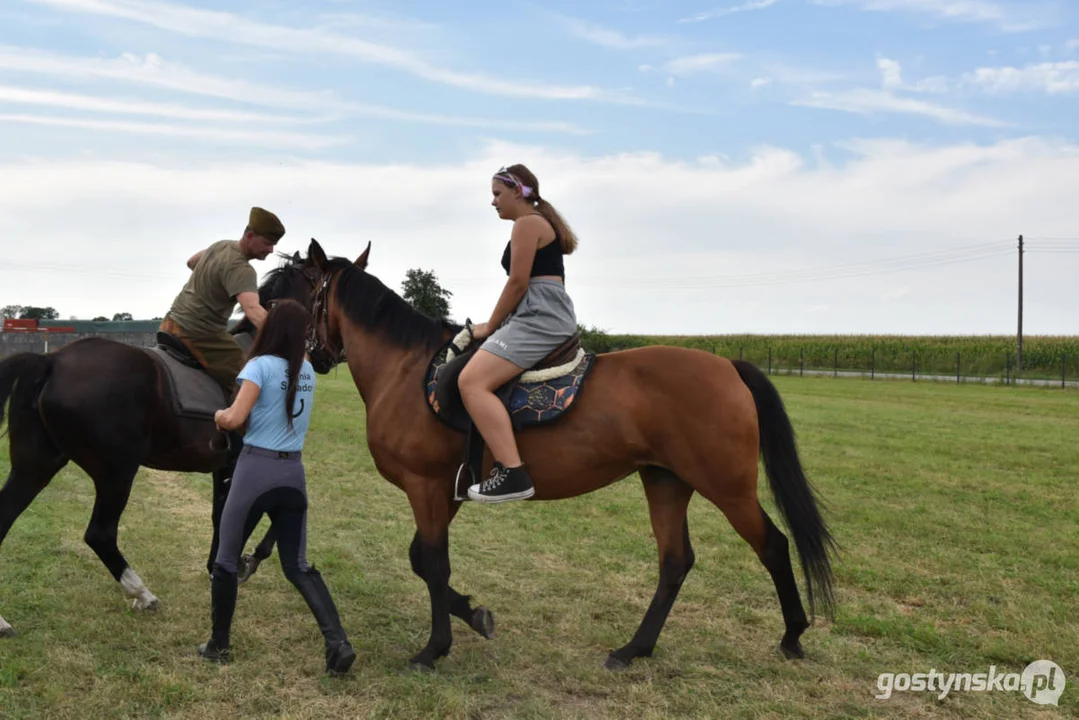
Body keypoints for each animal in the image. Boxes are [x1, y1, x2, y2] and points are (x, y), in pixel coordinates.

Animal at [0, 252, 319, 634]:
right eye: (319, 285)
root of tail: (51, 360)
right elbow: (266, 512)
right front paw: (242, 563)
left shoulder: (225, 468)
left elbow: (222, 515)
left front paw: (218, 566)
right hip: (117, 472)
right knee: (100, 534)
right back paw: (142, 593)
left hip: (35, 466)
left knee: (4, 516)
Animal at [299, 239, 837, 673]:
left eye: (301, 285)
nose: (314, 357)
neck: (408, 371)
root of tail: (728, 366)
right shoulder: (445, 492)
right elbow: (421, 559)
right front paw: (475, 615)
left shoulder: (425, 486)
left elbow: (432, 563)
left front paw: (434, 649)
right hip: (665, 480)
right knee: (675, 562)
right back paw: (633, 650)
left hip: (725, 486)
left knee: (773, 546)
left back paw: (792, 635)